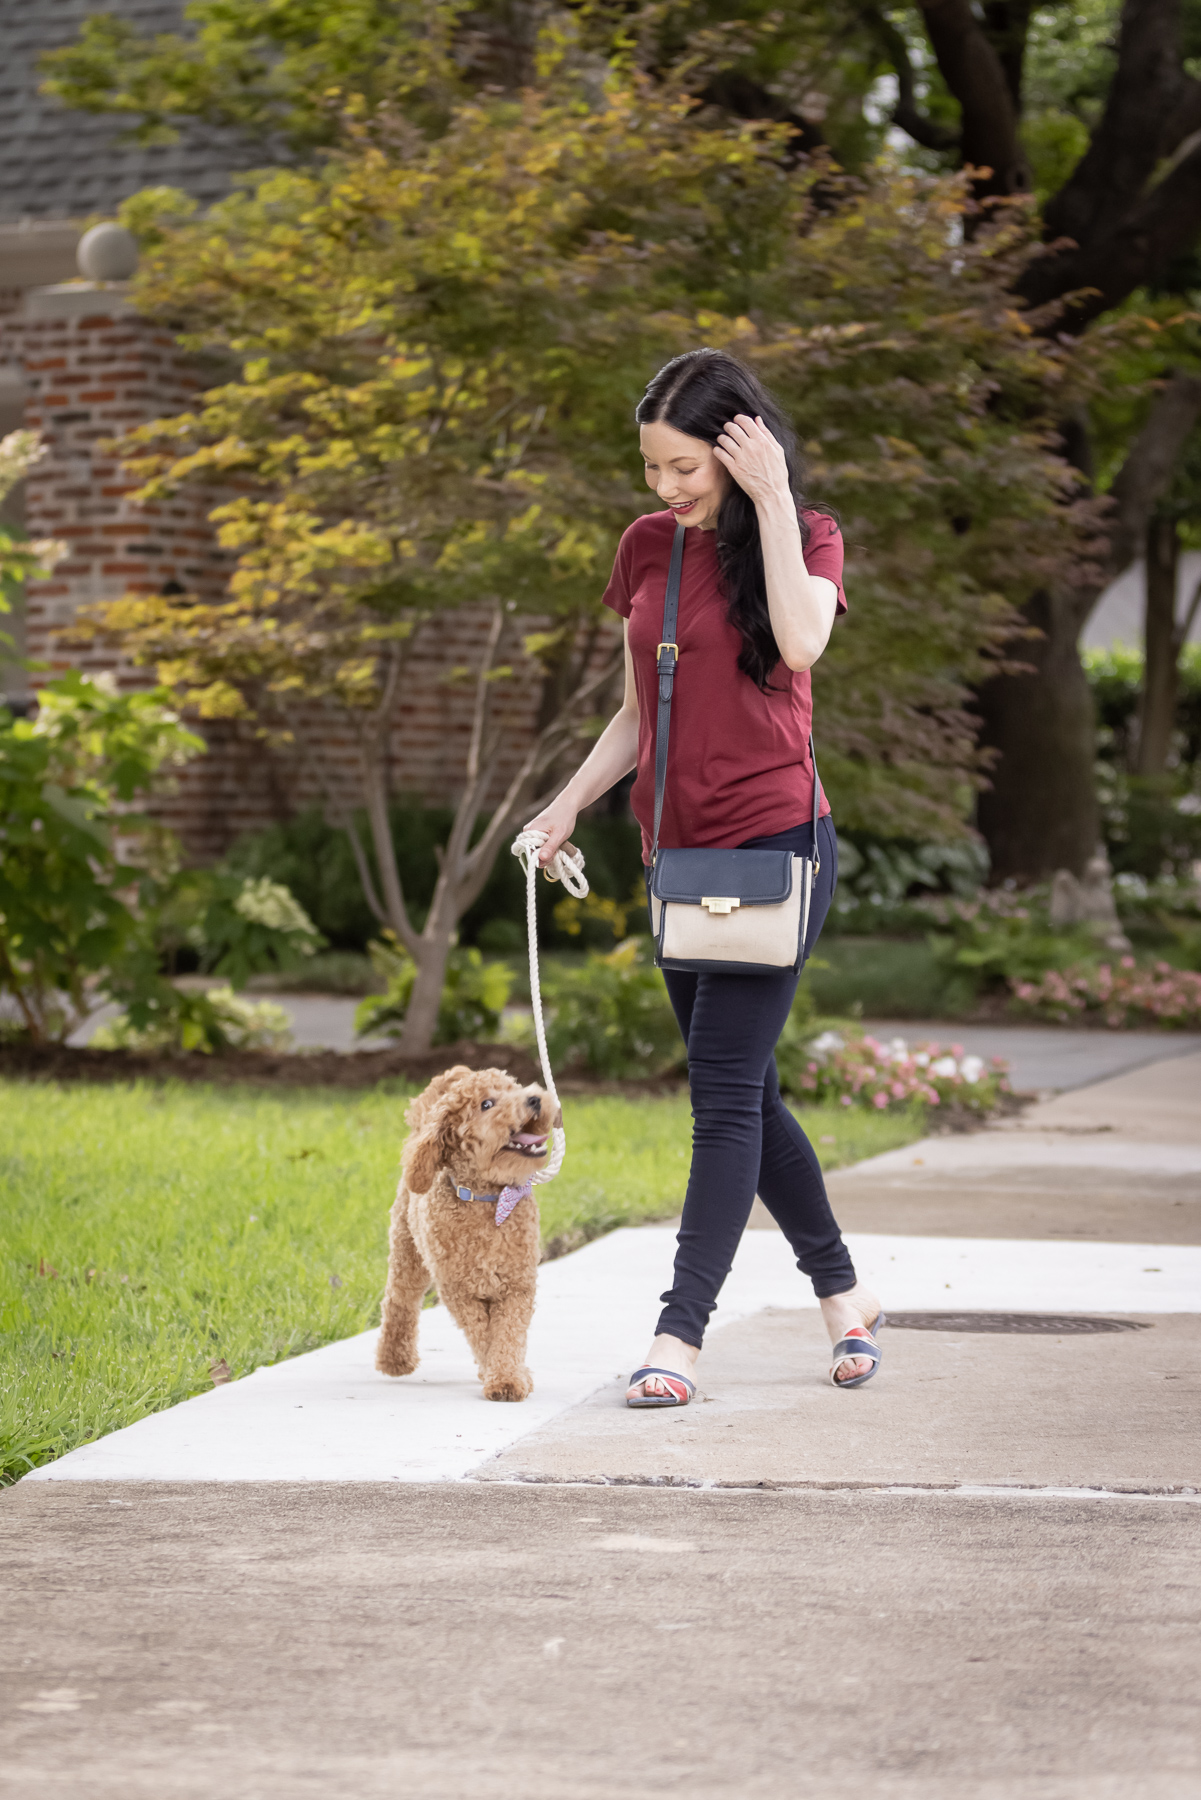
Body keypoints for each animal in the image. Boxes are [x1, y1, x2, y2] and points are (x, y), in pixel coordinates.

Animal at [376, 1058, 558, 1396]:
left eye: (514, 1088)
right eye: (486, 1104)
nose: (534, 1099)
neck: (487, 1200)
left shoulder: (517, 1286)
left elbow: (507, 1335)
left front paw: (509, 1376)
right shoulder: (460, 1291)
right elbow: (483, 1335)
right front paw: (502, 1378)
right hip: (408, 1255)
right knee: (399, 1301)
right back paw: (394, 1360)